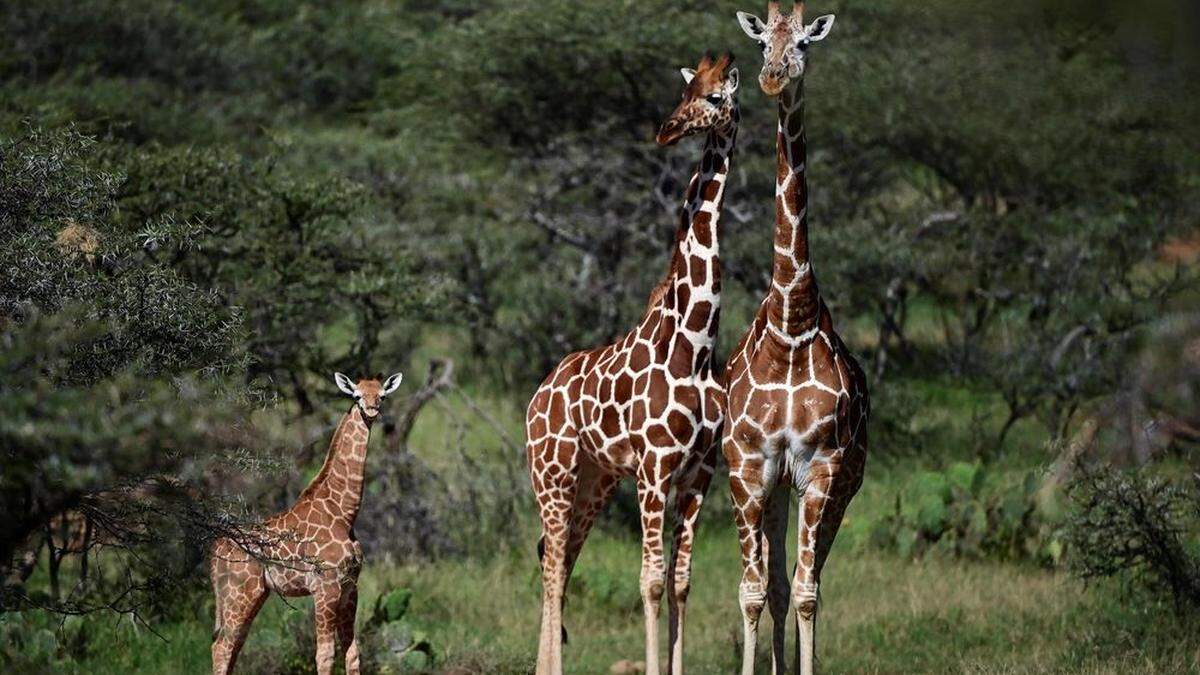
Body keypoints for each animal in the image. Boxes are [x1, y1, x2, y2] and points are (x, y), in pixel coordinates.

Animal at [211, 369, 403, 667]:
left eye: (382, 395)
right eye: (357, 395)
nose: (372, 410)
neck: (343, 513)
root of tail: (215, 552)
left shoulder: (351, 587)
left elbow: (352, 652)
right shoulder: (325, 587)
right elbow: (325, 654)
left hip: (252, 595)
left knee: (233, 647)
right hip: (239, 594)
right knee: (221, 647)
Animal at [525, 51, 739, 672]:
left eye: (716, 97)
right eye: (686, 90)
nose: (667, 129)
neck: (696, 346)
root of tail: (537, 395)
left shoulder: (699, 474)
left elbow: (681, 582)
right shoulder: (655, 469)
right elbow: (648, 580)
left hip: (593, 482)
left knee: (558, 561)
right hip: (552, 474)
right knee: (552, 566)